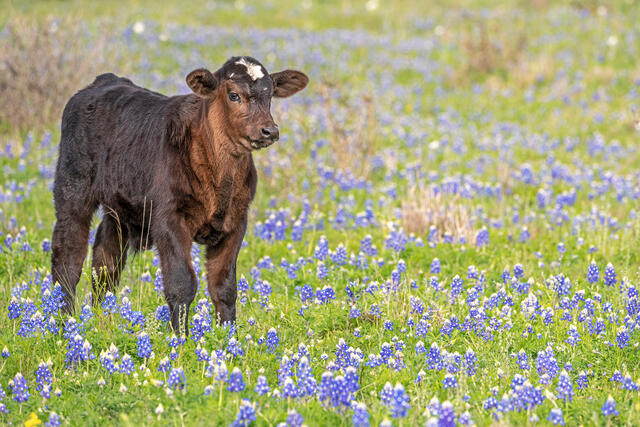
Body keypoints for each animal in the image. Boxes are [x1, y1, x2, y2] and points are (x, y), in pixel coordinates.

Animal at [51, 56, 308, 334]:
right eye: (233, 95)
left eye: (270, 94)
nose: (269, 130)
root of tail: (105, 80)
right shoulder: (170, 220)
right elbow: (182, 283)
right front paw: (181, 337)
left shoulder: (236, 222)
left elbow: (224, 287)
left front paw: (228, 334)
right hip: (72, 190)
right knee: (68, 257)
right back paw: (64, 320)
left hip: (118, 208)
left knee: (106, 262)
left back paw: (101, 317)